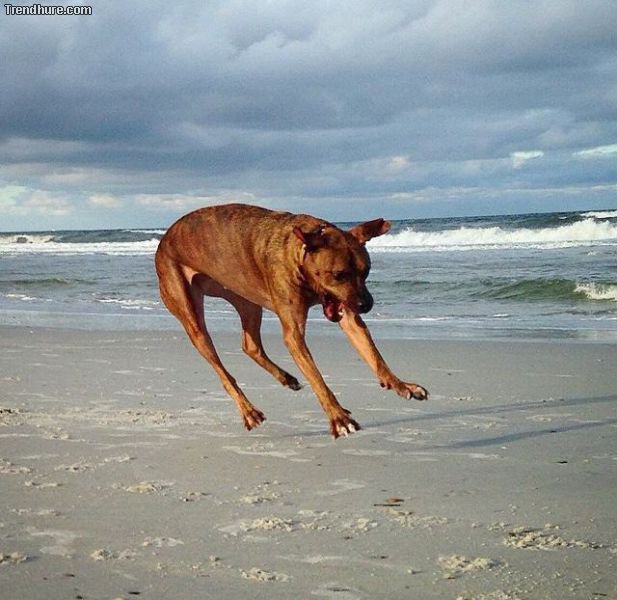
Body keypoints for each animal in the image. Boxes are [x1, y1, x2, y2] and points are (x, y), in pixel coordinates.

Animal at [155, 203, 428, 438]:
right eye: (339, 275)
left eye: (366, 271)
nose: (366, 305)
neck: (301, 256)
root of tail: (165, 237)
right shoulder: (295, 332)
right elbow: (317, 377)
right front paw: (338, 417)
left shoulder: (347, 313)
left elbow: (373, 354)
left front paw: (400, 384)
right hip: (187, 307)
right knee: (220, 368)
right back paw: (248, 410)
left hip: (246, 299)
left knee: (250, 345)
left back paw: (286, 378)